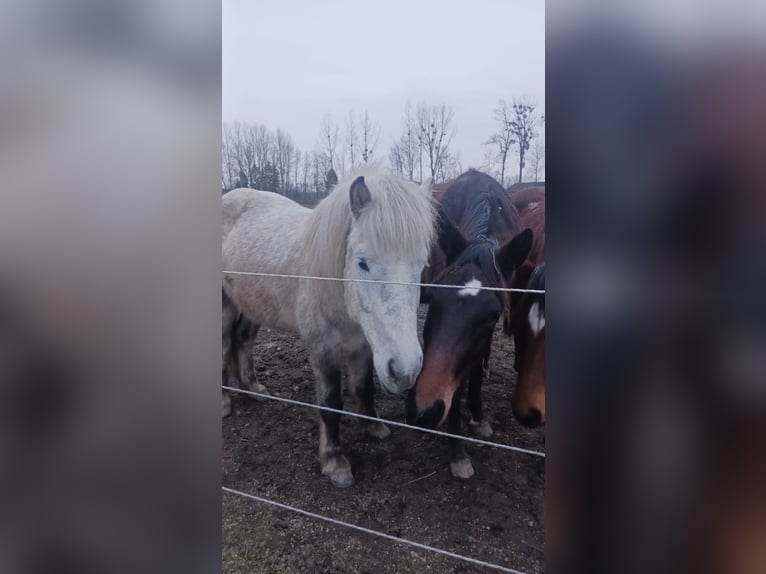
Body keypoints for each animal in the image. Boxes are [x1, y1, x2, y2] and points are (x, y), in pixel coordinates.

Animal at [408, 170, 536, 482]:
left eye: (492, 315)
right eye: (433, 297)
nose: (424, 409)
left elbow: (476, 366)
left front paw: (477, 416)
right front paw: (458, 453)